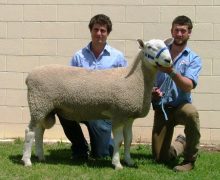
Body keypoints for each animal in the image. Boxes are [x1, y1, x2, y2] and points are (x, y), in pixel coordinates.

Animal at [21, 38, 173, 170]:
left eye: (166, 45)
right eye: (149, 47)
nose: (168, 60)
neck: (135, 79)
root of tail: (29, 76)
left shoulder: (128, 116)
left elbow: (129, 139)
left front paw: (129, 161)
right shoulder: (118, 113)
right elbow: (119, 140)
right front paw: (117, 164)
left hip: (44, 107)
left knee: (39, 131)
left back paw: (40, 156)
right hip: (38, 103)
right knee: (30, 132)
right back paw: (27, 161)